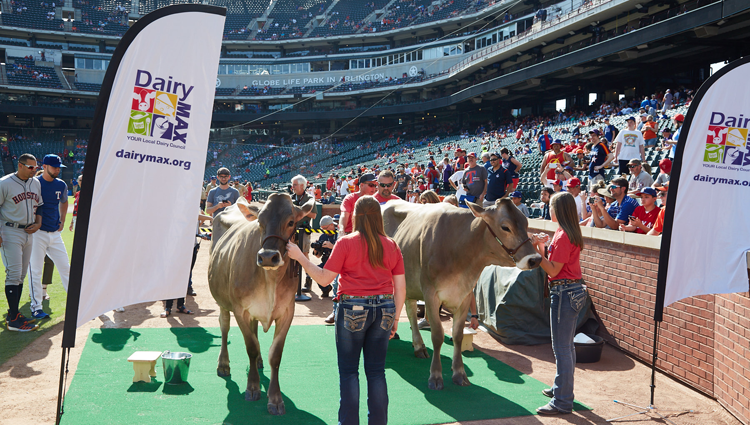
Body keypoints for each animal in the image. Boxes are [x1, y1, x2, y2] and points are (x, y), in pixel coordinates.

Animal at [209, 194, 314, 412]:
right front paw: (252, 388)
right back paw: (223, 364)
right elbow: (251, 347)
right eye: (259, 222)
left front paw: (275, 398)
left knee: (254, 330)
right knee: (224, 327)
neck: (270, 281)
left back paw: (258, 363)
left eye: (291, 222)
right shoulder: (240, 310)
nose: (267, 257)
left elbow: (275, 354)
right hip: (222, 301)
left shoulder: (287, 312)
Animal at [384, 200, 544, 390]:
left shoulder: (465, 295)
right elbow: (437, 335)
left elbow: (458, 335)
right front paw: (435, 376)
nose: (535, 259)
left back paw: (419, 347)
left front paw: (459, 374)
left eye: (526, 223)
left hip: (409, 284)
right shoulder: (430, 293)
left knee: (410, 309)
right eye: (505, 227)